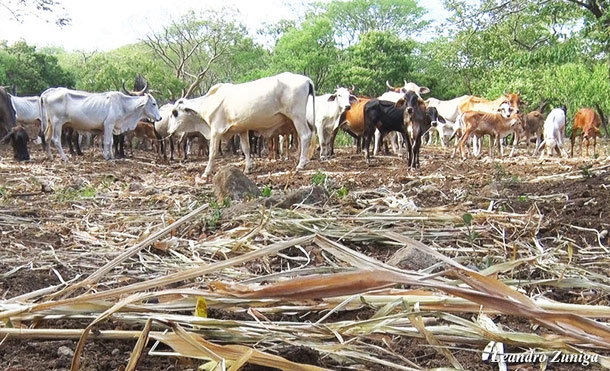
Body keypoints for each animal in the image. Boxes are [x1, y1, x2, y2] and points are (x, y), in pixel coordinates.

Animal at [169, 72, 316, 179]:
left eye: (175, 113)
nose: (170, 131)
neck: (208, 103)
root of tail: (307, 80)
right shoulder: (242, 130)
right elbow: (246, 149)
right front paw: (247, 169)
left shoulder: (216, 131)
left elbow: (213, 152)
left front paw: (206, 172)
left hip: (297, 116)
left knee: (305, 135)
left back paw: (301, 164)